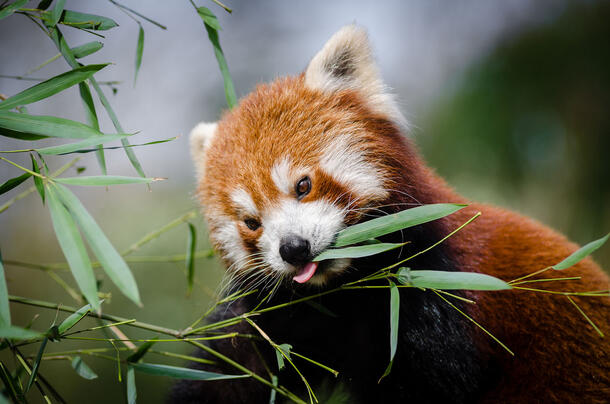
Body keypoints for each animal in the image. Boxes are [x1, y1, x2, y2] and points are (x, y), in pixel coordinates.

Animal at [171, 26, 608, 404]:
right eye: (251, 222)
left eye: (303, 185)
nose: (293, 249)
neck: (347, 289)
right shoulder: (282, 317)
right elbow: (233, 370)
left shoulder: (435, 288)